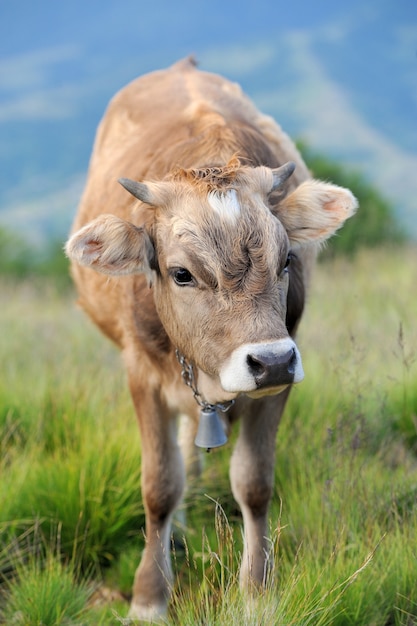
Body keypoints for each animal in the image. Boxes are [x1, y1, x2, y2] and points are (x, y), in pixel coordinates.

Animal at [66, 57, 356, 620]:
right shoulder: (140, 373)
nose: (270, 360)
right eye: (181, 274)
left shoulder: (281, 378)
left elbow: (255, 483)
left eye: (286, 260)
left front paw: (258, 594)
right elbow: (159, 485)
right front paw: (148, 598)